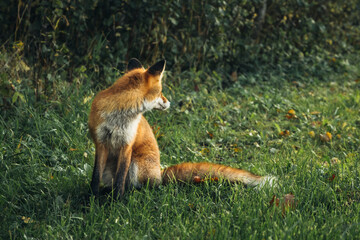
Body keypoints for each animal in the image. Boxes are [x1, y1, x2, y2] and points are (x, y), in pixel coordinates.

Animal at [88, 58, 274, 197]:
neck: (119, 115)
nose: (169, 102)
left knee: (143, 186)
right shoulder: (100, 142)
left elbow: (120, 180)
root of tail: (160, 174)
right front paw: (91, 200)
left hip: (136, 164)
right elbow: (95, 177)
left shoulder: (127, 144)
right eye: (160, 91)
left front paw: (117, 202)